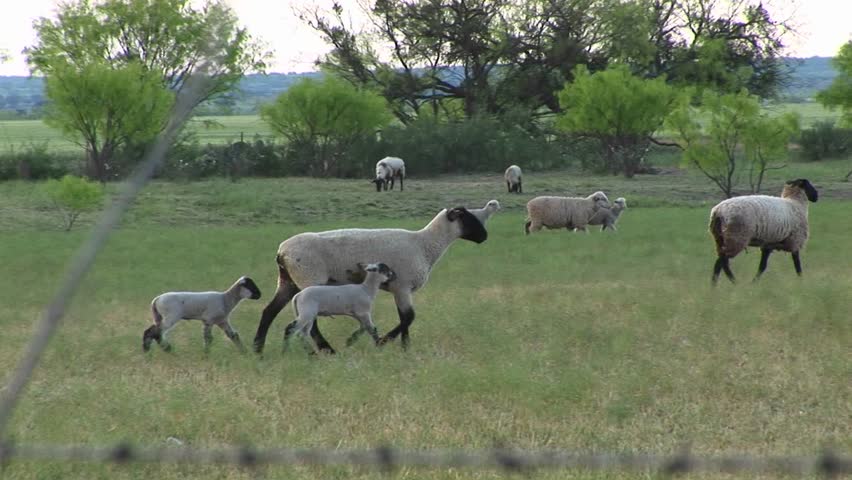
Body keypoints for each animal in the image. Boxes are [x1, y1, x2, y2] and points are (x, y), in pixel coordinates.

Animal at [253, 206, 489, 354]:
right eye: (467, 218)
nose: (485, 237)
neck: (425, 245)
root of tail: (282, 252)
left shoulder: (399, 289)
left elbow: (405, 318)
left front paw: (405, 347)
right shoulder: (402, 286)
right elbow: (408, 317)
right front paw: (384, 342)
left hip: (288, 280)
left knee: (268, 311)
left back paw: (258, 348)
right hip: (308, 277)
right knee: (309, 324)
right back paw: (328, 350)